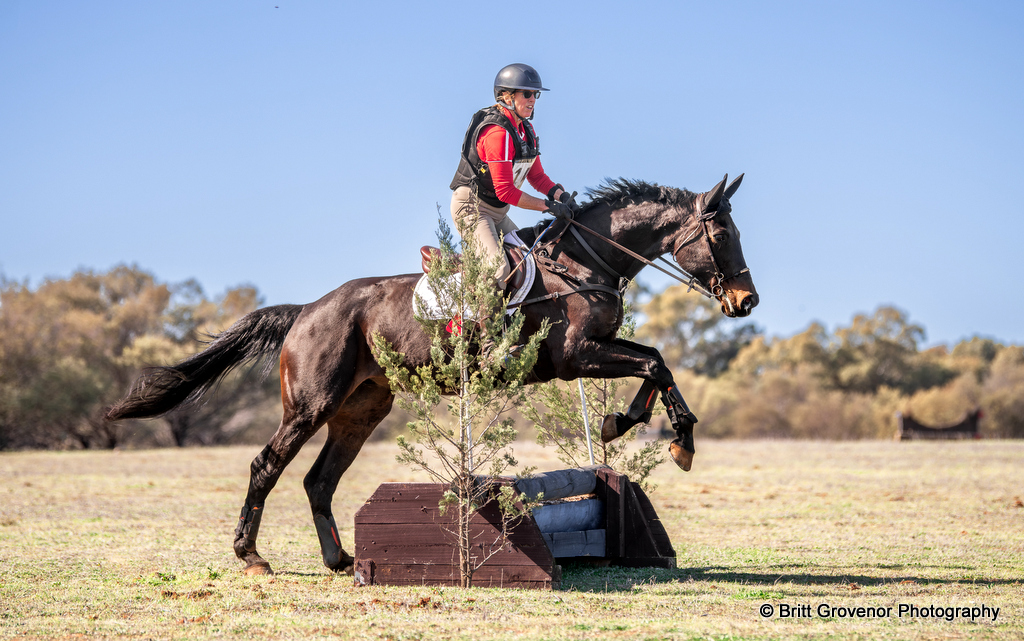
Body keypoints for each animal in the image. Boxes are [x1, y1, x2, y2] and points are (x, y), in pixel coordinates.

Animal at [106, 174, 758, 576]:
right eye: (723, 233)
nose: (746, 301)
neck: (582, 261)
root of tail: (307, 310)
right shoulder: (575, 356)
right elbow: (653, 361)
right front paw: (662, 434)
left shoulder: (593, 351)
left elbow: (656, 359)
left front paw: (634, 424)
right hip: (311, 405)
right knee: (267, 464)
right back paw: (251, 556)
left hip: (362, 409)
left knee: (319, 480)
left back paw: (340, 561)